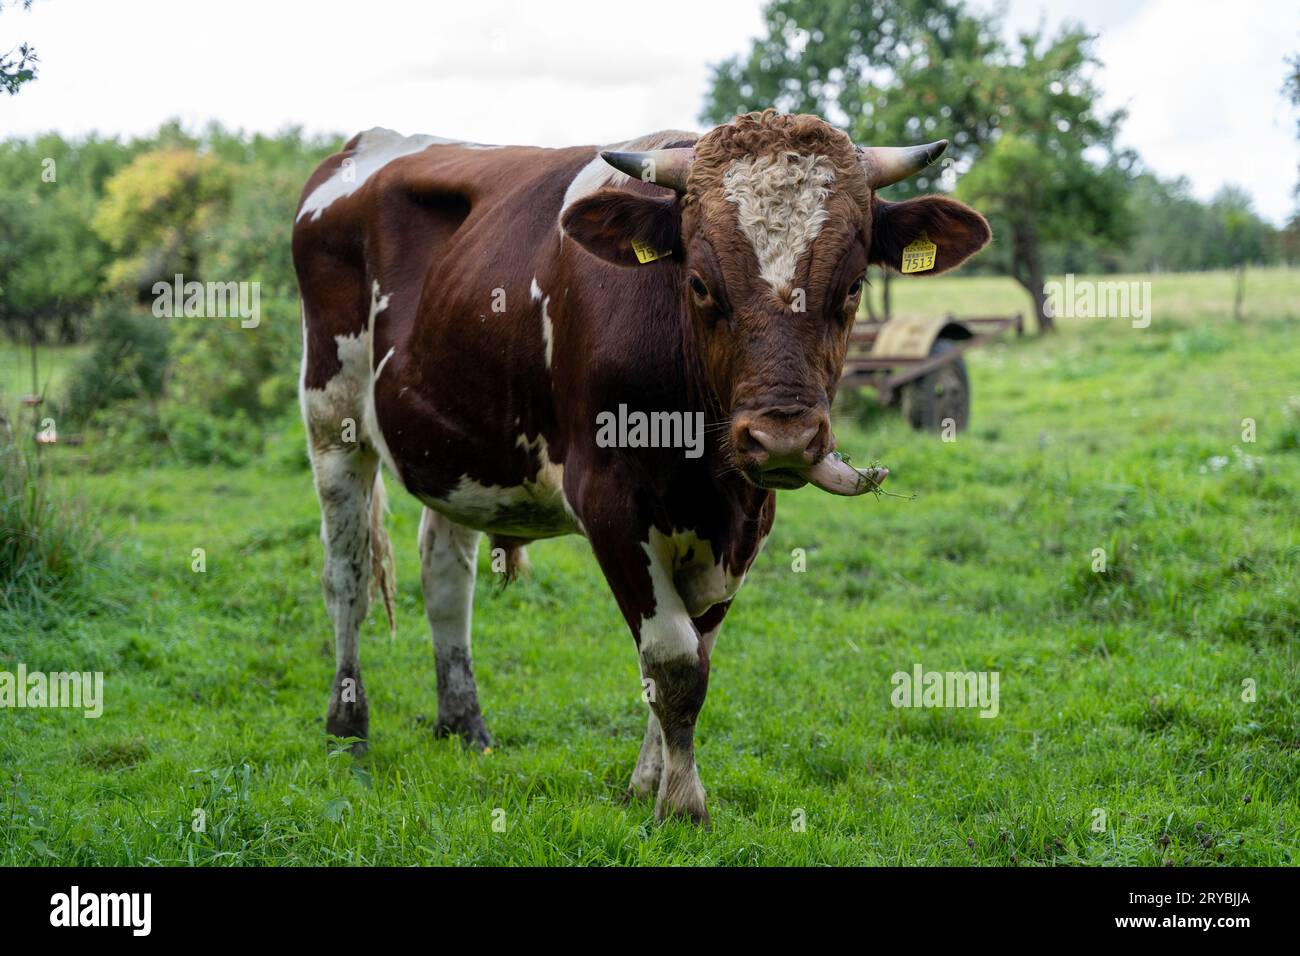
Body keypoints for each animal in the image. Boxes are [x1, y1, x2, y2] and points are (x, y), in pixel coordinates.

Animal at [292, 106, 982, 822]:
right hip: (332, 422)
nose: (783, 439)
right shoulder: (611, 506)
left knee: (445, 576)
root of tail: (366, 143)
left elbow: (694, 656)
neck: (706, 473)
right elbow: (673, 660)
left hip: (456, 449)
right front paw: (682, 804)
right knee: (346, 577)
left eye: (852, 287)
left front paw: (648, 783)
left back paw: (465, 726)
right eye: (700, 285)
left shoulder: (745, 523)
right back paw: (347, 732)